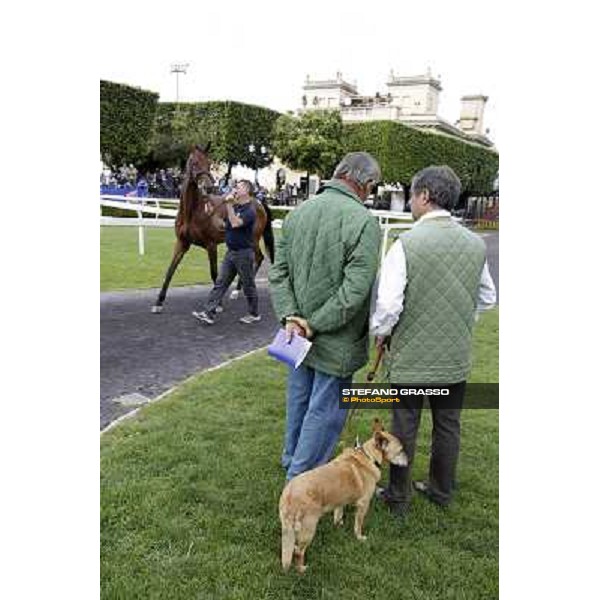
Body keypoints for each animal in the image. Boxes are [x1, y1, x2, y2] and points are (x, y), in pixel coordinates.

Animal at [151, 144, 276, 314]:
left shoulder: (211, 245)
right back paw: (238, 290)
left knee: (258, 257)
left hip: (253, 239)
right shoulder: (182, 243)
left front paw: (218, 304)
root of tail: (258, 202)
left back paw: (238, 290)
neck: (193, 212)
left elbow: (214, 273)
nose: (209, 187)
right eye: (194, 162)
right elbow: (170, 271)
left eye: (209, 163)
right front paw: (159, 302)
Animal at [278, 420, 406, 576]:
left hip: (290, 528)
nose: (408, 460)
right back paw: (301, 568)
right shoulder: (363, 505)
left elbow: (338, 514)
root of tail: (289, 495)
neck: (368, 456)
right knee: (298, 551)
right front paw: (359, 538)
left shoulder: (340, 501)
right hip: (308, 529)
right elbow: (358, 526)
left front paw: (339, 524)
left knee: (293, 548)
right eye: (400, 451)